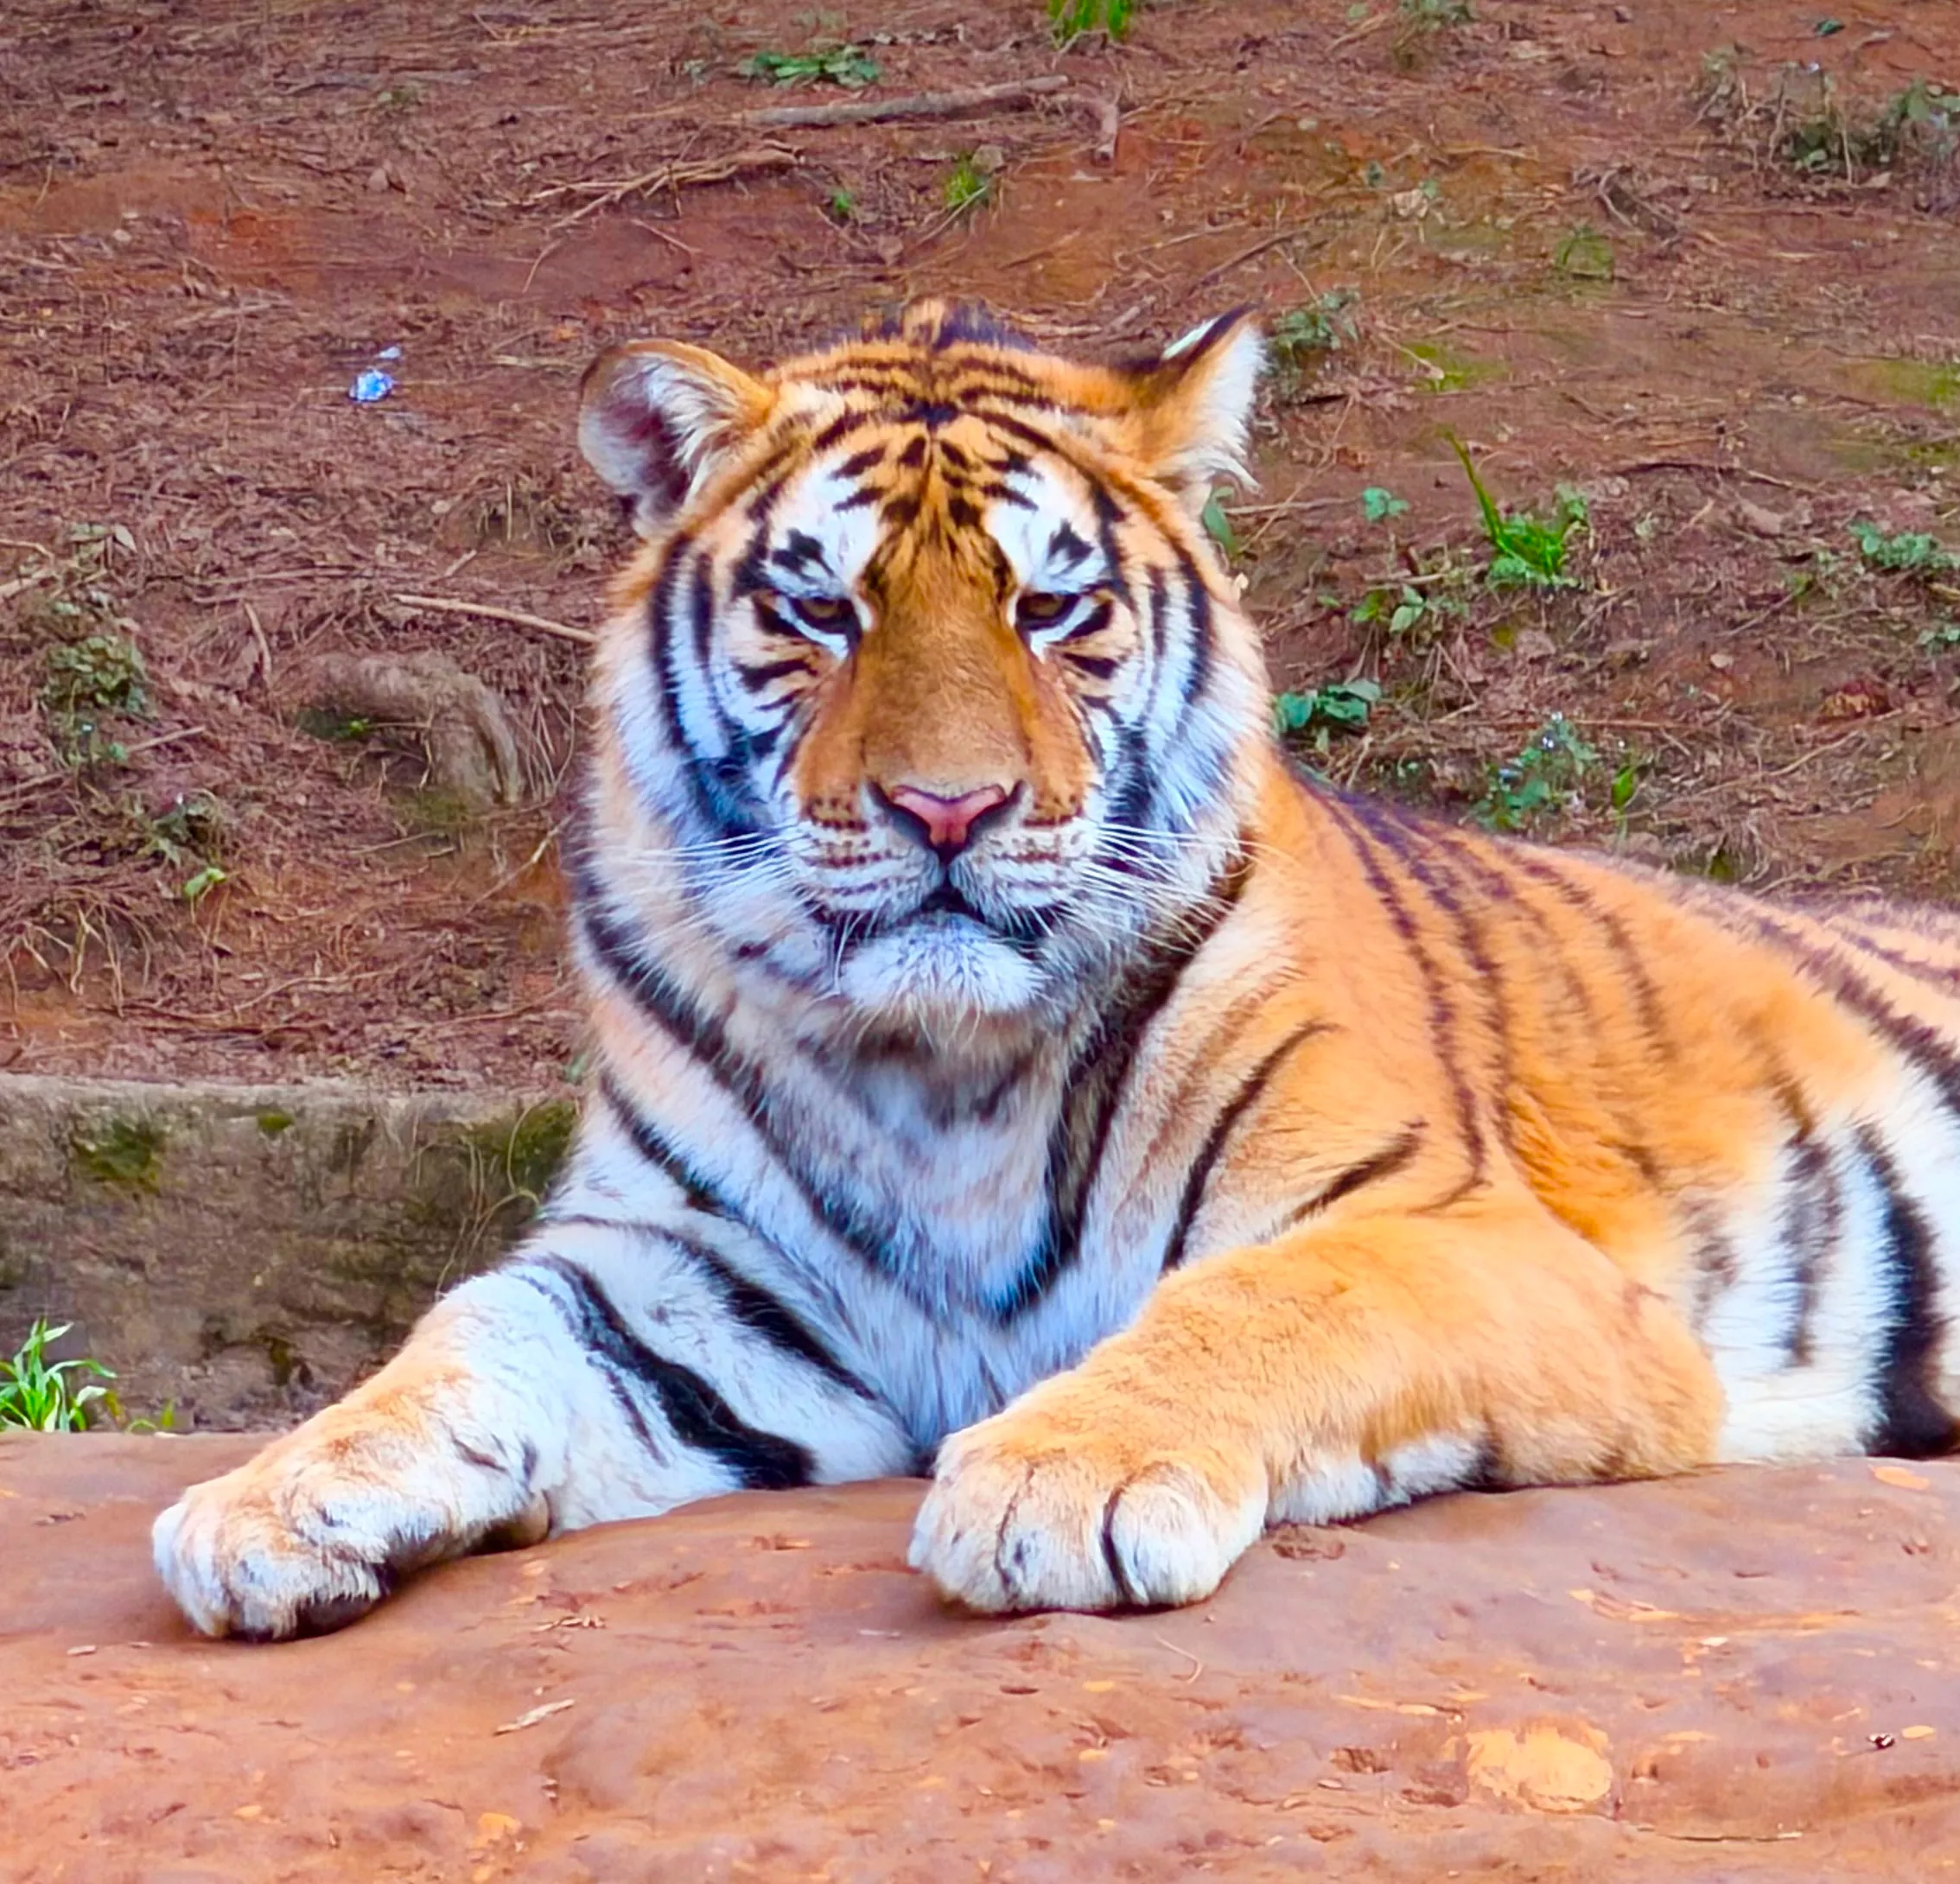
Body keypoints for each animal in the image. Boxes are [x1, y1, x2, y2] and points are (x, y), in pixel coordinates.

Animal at [154, 299, 1960, 1639]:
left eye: (1048, 606)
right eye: (820, 610)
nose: (947, 808)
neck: (931, 1066)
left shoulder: (1467, 1236)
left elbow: (1262, 1304)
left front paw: (1060, 1480)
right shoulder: (685, 1273)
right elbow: (466, 1336)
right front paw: (269, 1497)